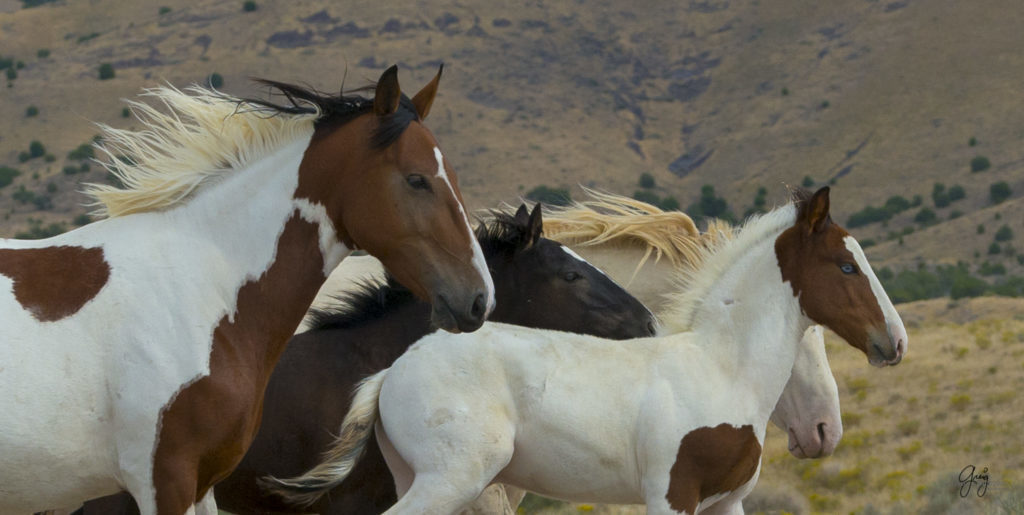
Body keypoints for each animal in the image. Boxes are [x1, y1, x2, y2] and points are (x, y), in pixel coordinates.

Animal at [262, 187, 905, 513]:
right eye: (847, 266)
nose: (893, 342)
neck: (719, 365)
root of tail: (393, 370)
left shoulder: (727, 503)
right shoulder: (671, 496)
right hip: (449, 481)